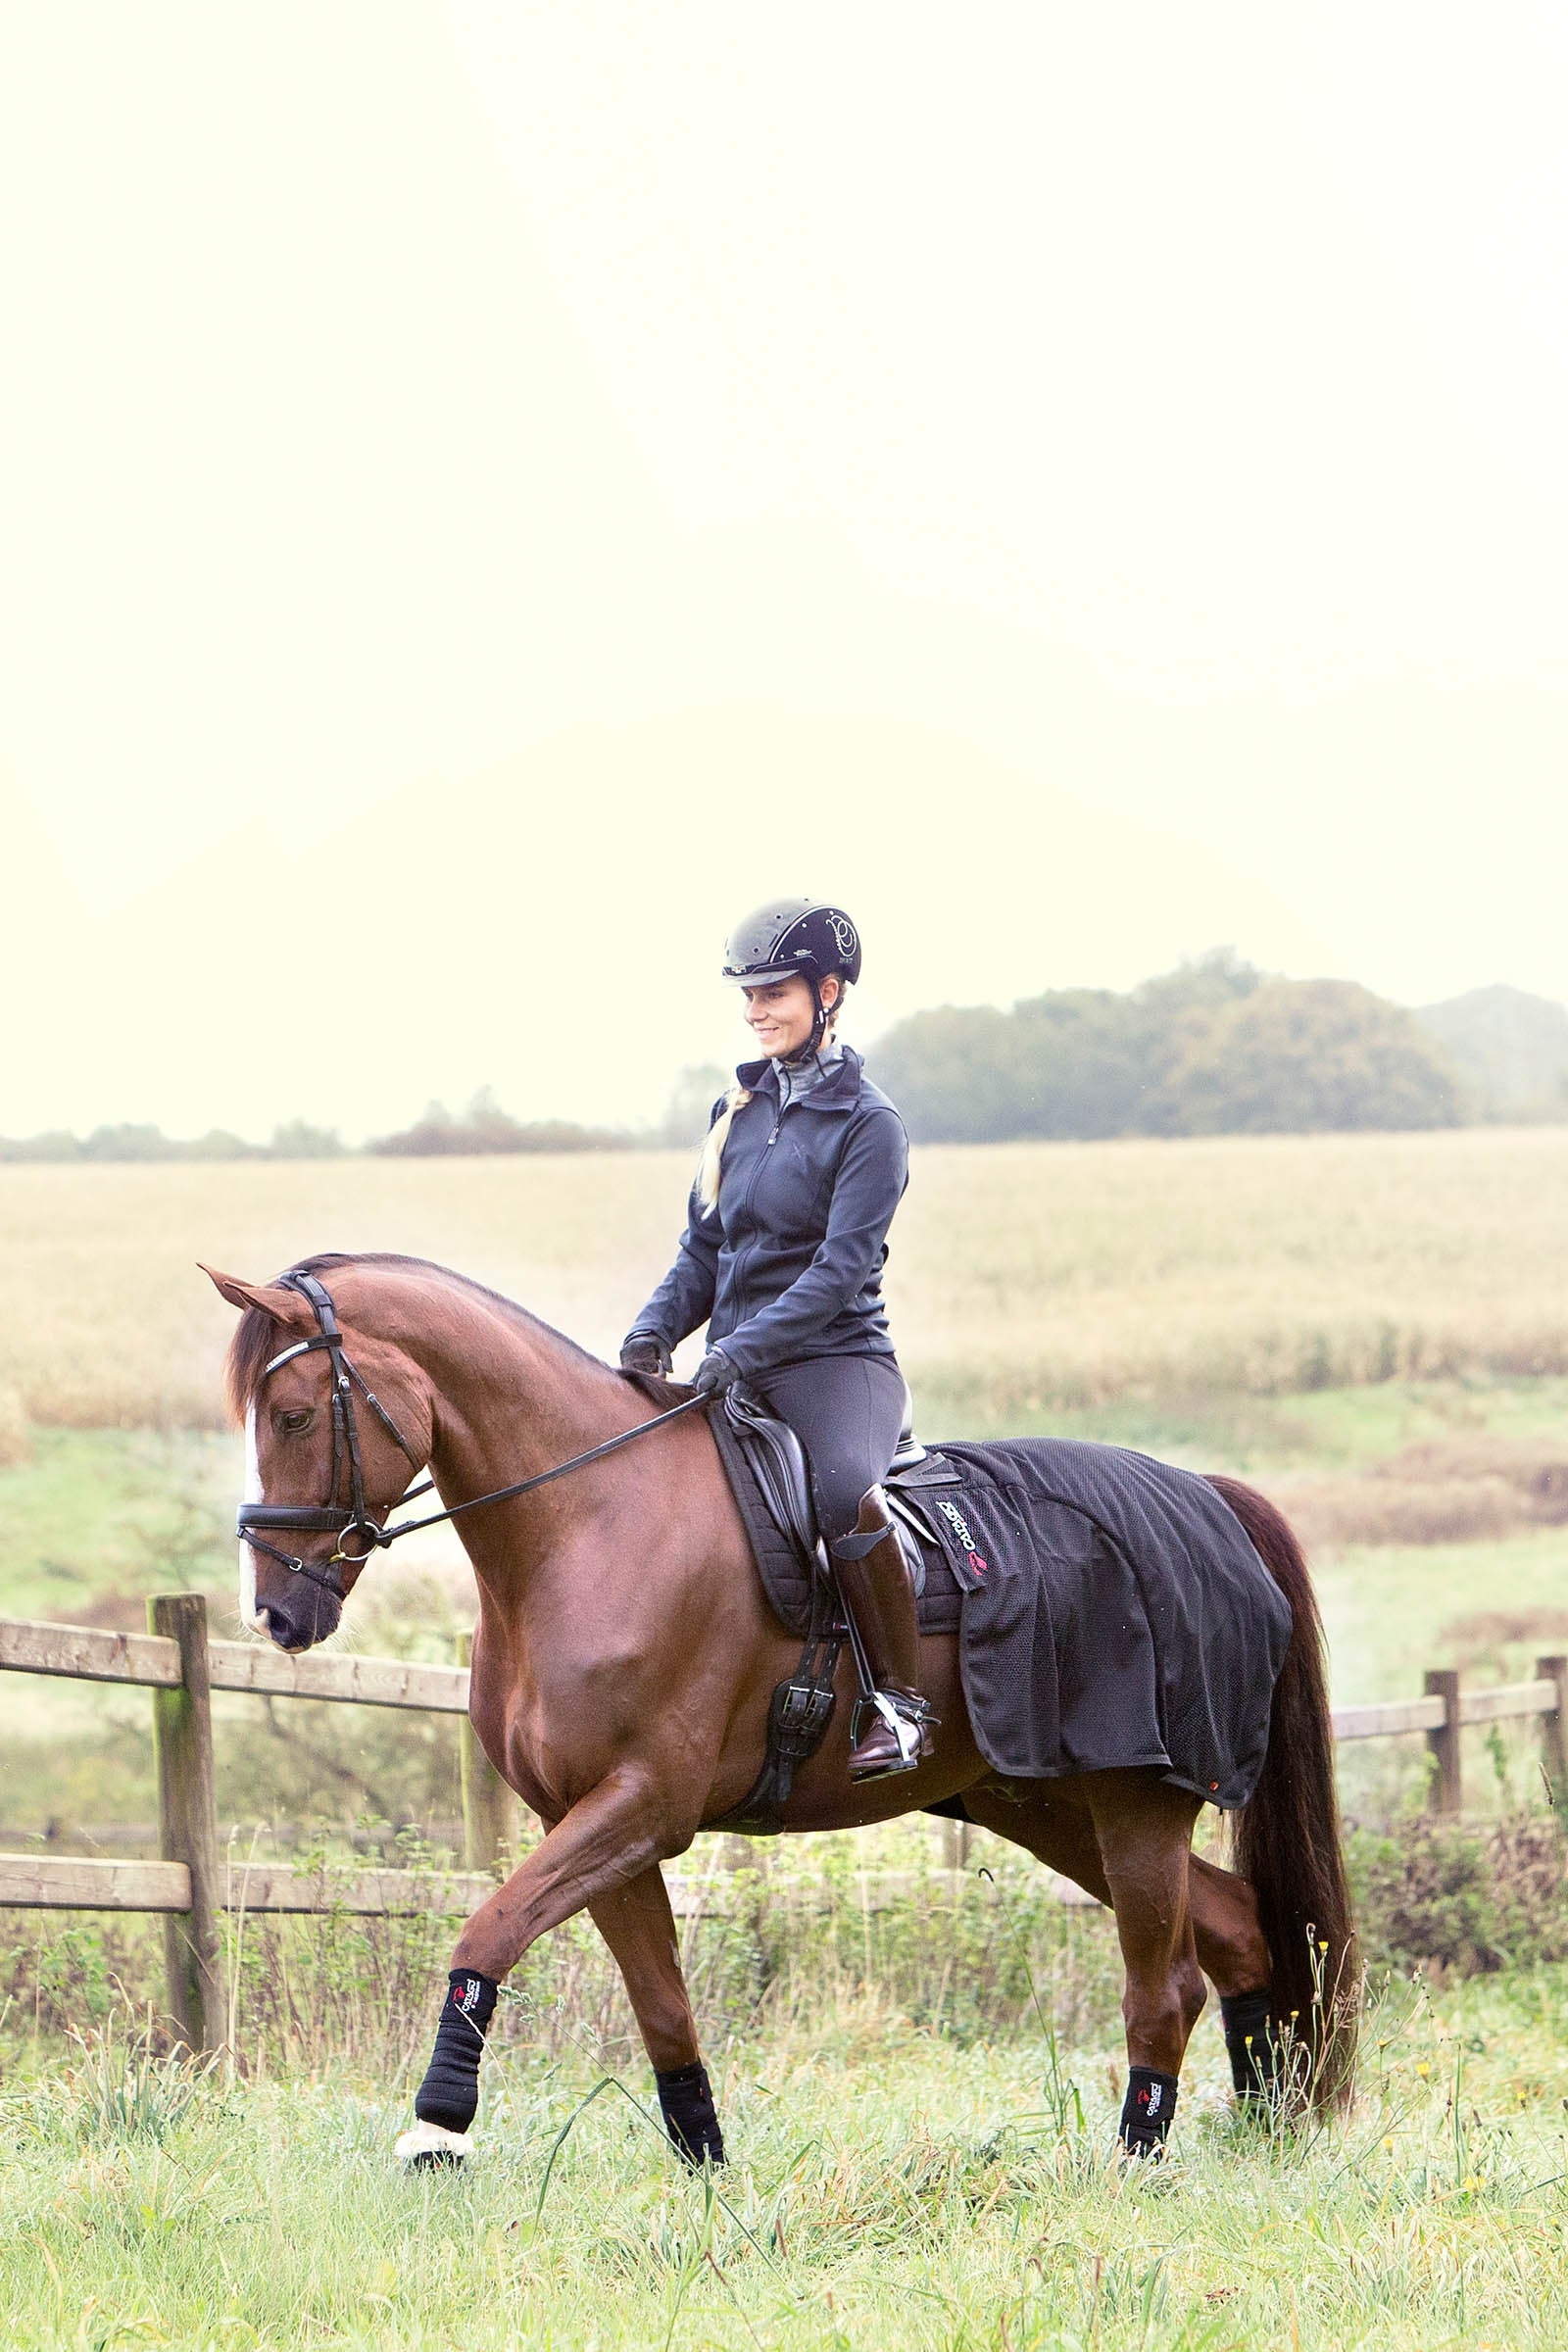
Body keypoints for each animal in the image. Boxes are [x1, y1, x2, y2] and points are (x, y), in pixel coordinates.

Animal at [204, 1251, 1356, 2164]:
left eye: (295, 1414)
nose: (277, 1611)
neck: (591, 1521)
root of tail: (1208, 1500)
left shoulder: (641, 1804)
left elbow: (488, 1929)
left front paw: (436, 2125)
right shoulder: (596, 1820)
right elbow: (661, 2005)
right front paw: (706, 2162)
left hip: (1134, 1803)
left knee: (1164, 1985)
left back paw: (1134, 2161)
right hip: (1044, 1805)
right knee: (1236, 1934)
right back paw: (1258, 2128)